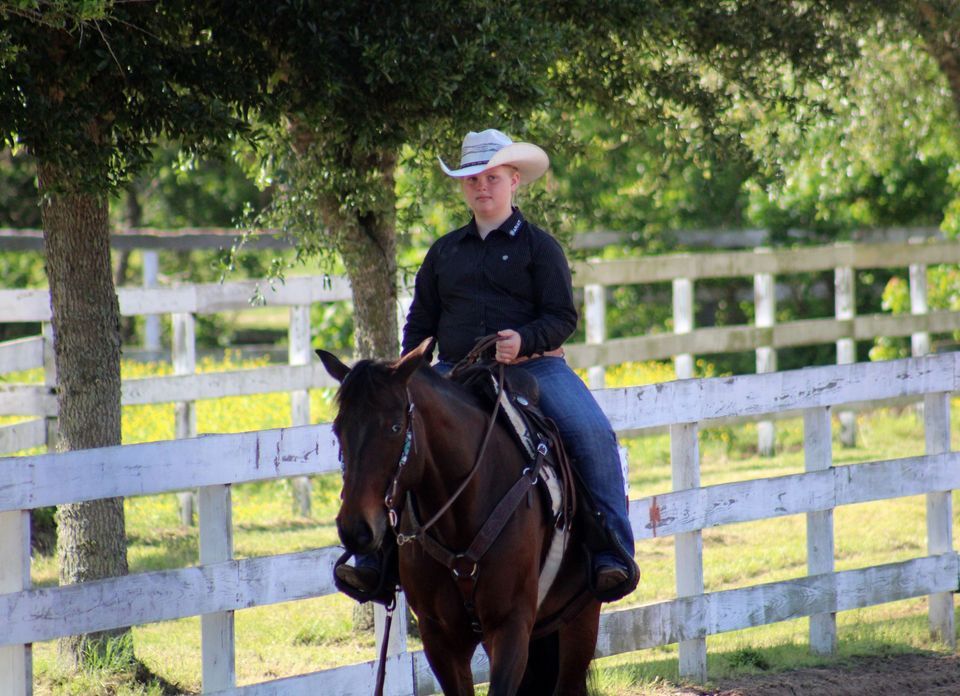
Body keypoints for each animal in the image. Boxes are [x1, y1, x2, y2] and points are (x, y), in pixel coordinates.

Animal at [318, 338, 602, 696]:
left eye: (395, 427)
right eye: (337, 429)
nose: (355, 529)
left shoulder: (510, 627)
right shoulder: (440, 637)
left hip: (580, 620)